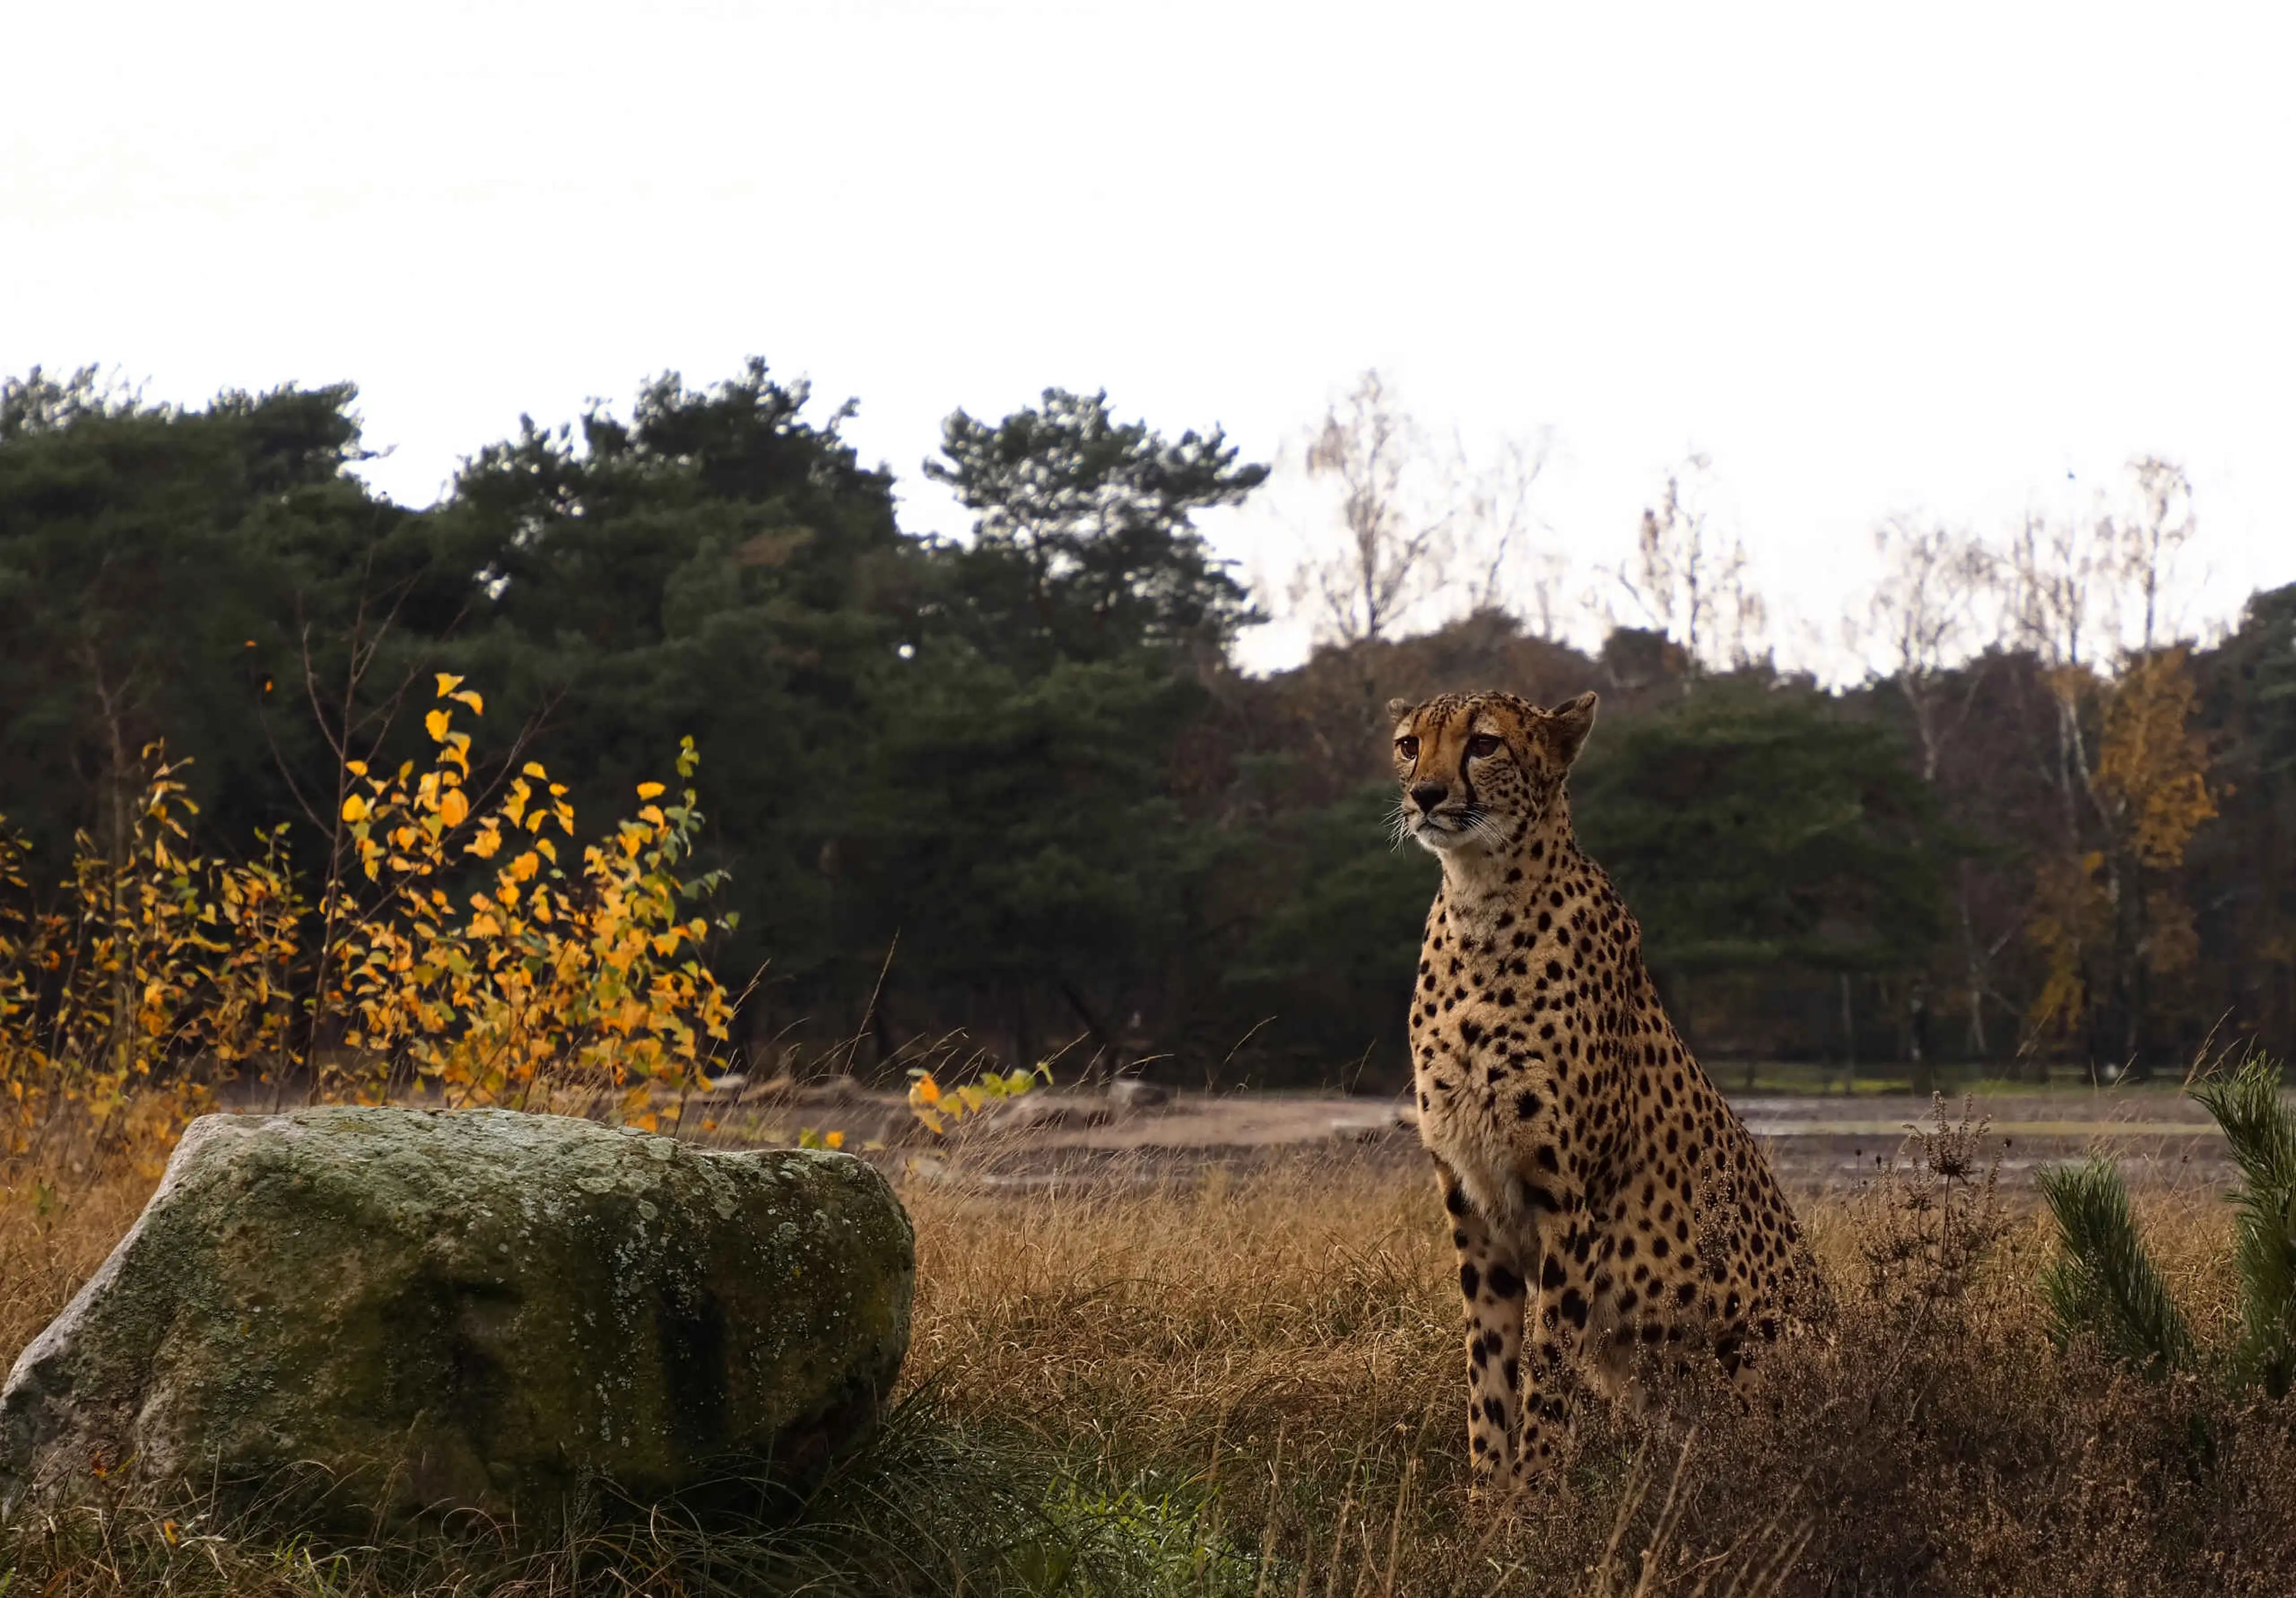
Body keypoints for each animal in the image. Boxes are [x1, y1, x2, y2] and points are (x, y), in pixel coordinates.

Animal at [1386, 687, 1822, 1495]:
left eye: (1483, 743)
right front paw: (1486, 1506)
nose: (1425, 794)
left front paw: (1534, 1503)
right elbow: (1487, 1377)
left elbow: (1548, 1377)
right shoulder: (1473, 1209)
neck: (1480, 903)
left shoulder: (1571, 1209)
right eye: (1409, 744)